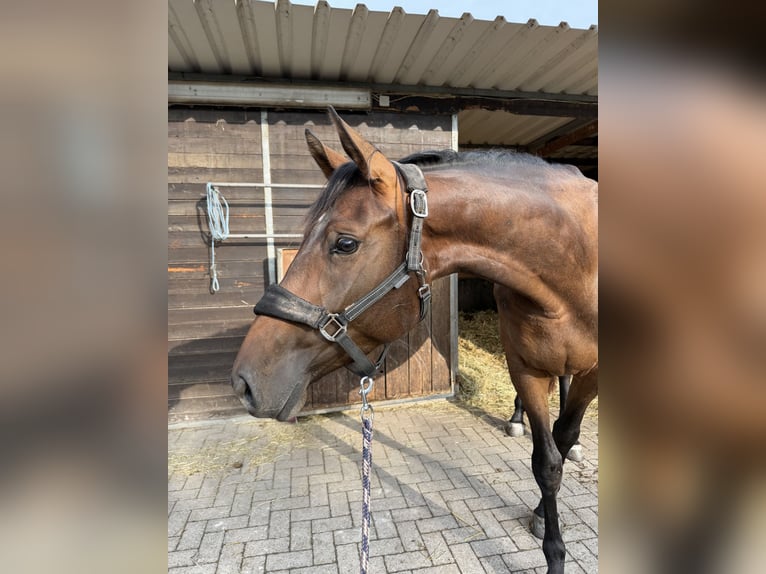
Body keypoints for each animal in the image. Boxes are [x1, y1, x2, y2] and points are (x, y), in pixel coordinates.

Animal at [231, 107, 598, 573]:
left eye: (345, 243)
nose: (243, 382)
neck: (574, 260)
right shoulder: (524, 367)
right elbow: (545, 462)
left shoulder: (594, 373)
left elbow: (562, 440)